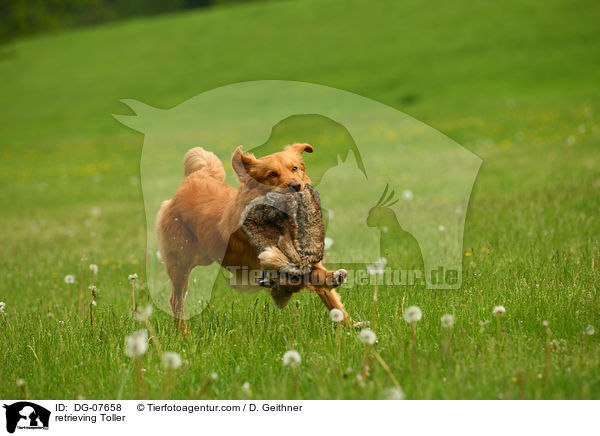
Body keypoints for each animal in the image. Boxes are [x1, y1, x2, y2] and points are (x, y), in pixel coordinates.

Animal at [156, 143, 352, 330]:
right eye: (272, 174)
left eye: (294, 168)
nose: (297, 185)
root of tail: (194, 178)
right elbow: (306, 275)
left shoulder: (307, 260)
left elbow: (332, 300)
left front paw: (350, 327)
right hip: (180, 264)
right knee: (176, 300)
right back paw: (182, 332)